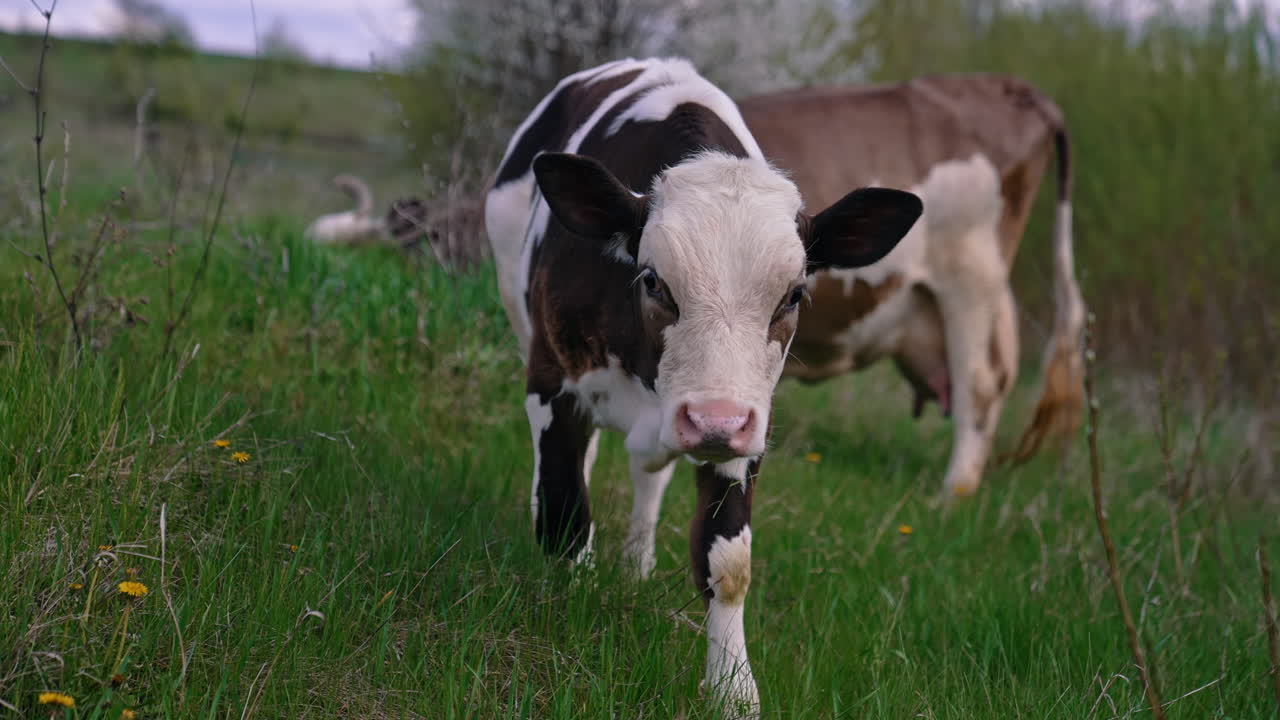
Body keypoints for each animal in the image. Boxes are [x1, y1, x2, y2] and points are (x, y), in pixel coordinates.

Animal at [484, 57, 922, 716]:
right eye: (653, 280)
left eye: (794, 293)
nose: (712, 420)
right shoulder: (552, 376)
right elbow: (565, 511)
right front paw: (568, 610)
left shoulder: (746, 425)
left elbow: (729, 560)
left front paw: (733, 689)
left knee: (649, 477)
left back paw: (636, 562)